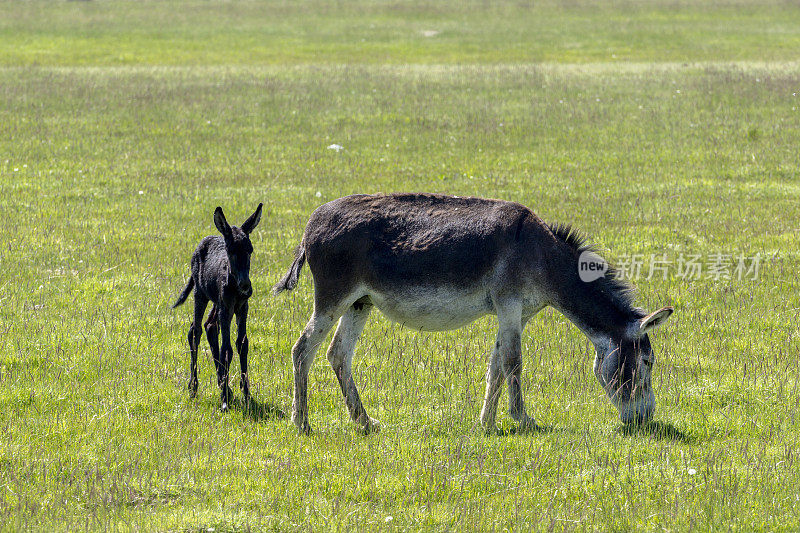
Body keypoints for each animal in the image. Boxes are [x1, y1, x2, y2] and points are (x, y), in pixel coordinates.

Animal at [173, 202, 264, 410]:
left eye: (250, 250)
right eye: (231, 251)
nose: (246, 285)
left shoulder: (242, 306)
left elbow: (242, 344)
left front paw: (246, 394)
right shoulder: (227, 307)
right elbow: (227, 350)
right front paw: (224, 401)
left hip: (217, 302)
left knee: (210, 326)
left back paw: (224, 385)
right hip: (201, 294)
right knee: (195, 330)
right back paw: (194, 387)